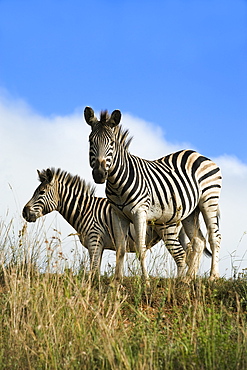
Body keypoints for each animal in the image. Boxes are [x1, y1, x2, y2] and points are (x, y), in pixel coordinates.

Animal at [22, 168, 185, 274]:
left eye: (41, 192)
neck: (85, 211)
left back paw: (180, 285)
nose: (24, 212)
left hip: (167, 230)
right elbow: (96, 270)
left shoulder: (94, 240)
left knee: (180, 256)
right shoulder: (98, 246)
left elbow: (93, 270)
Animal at [85, 106, 222, 284]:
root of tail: (198, 154)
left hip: (209, 200)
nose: (99, 174)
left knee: (214, 237)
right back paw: (187, 279)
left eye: (112, 143)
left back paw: (213, 277)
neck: (117, 183)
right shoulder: (117, 215)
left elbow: (141, 248)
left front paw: (146, 281)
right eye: (90, 141)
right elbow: (120, 249)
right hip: (190, 212)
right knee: (198, 241)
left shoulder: (140, 212)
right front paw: (116, 282)